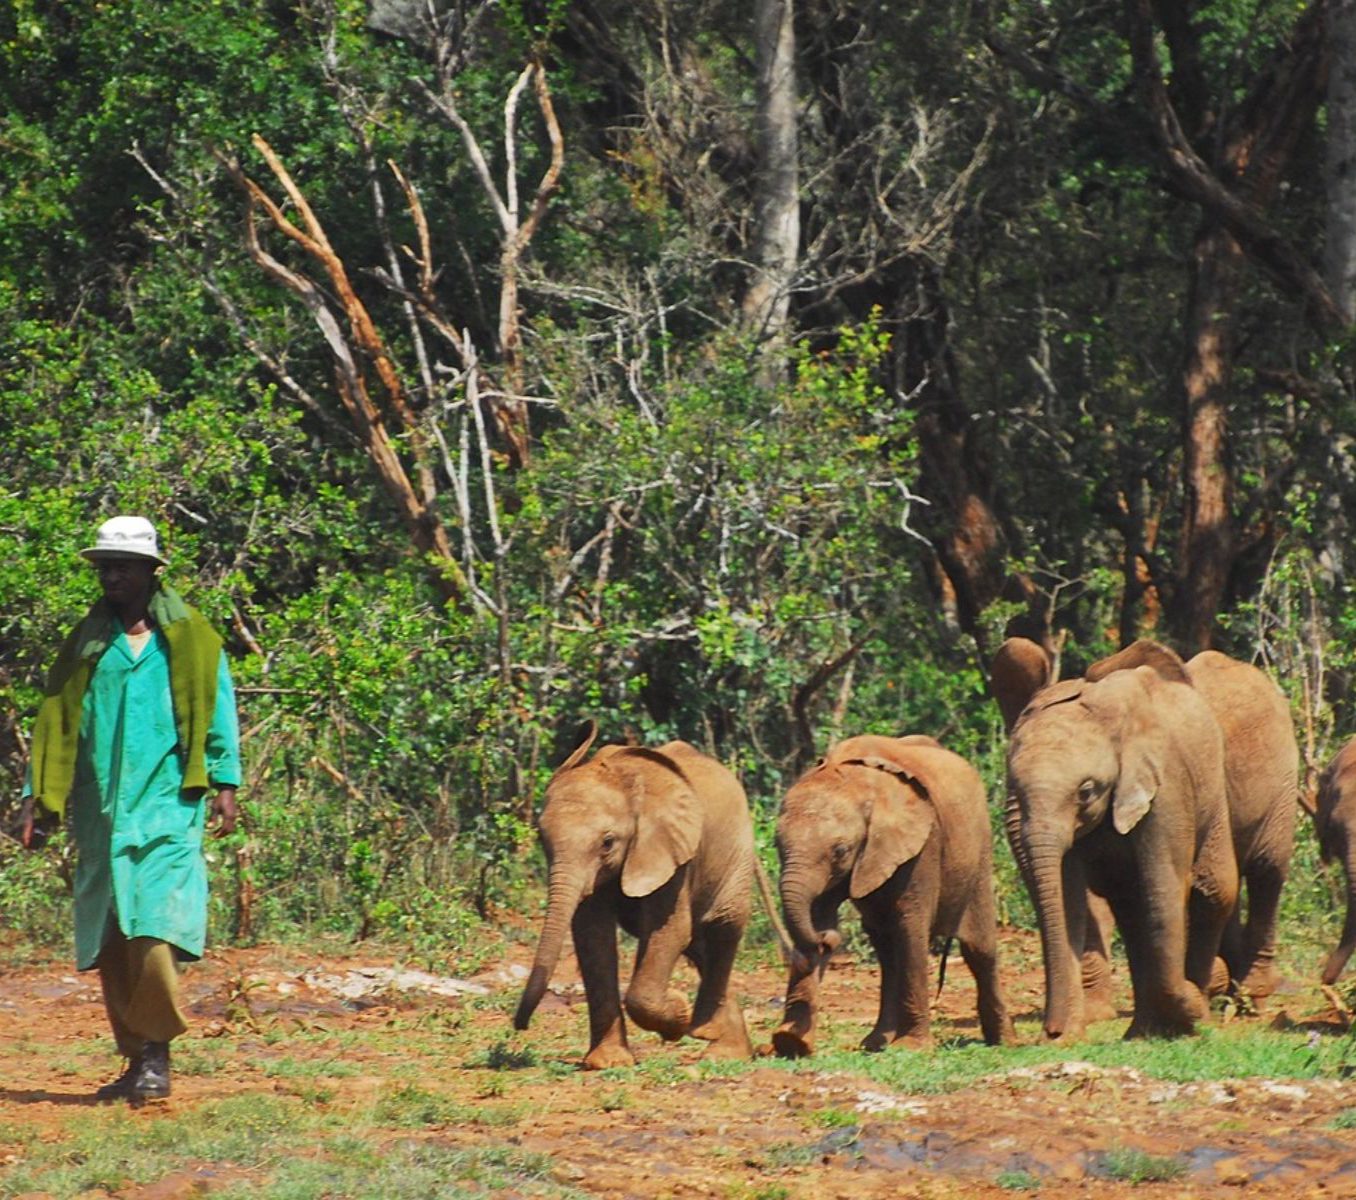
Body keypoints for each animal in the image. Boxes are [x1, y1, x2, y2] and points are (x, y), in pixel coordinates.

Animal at [513, 728, 755, 1070]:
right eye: (542, 839)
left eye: (608, 843)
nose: (520, 1026)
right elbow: (593, 937)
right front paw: (608, 1062)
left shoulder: (673, 851)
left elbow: (669, 931)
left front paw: (678, 1015)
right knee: (698, 944)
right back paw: (727, 1051)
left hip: (737, 850)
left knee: (723, 927)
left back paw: (709, 1037)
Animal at [771, 734, 1015, 1057]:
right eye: (776, 845)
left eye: (841, 851)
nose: (829, 940)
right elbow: (818, 914)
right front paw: (790, 1043)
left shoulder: (922, 845)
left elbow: (911, 925)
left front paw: (912, 1048)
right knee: (887, 951)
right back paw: (876, 1043)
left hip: (979, 851)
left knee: (978, 949)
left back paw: (1003, 1041)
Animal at [992, 640, 1239, 1040]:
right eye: (1013, 783)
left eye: (1086, 791)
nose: (1051, 1032)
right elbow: (1067, 898)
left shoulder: (1166, 784)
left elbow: (1164, 887)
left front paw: (1190, 1013)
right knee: (1130, 906)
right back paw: (1143, 1031)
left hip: (1212, 789)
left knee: (1213, 890)